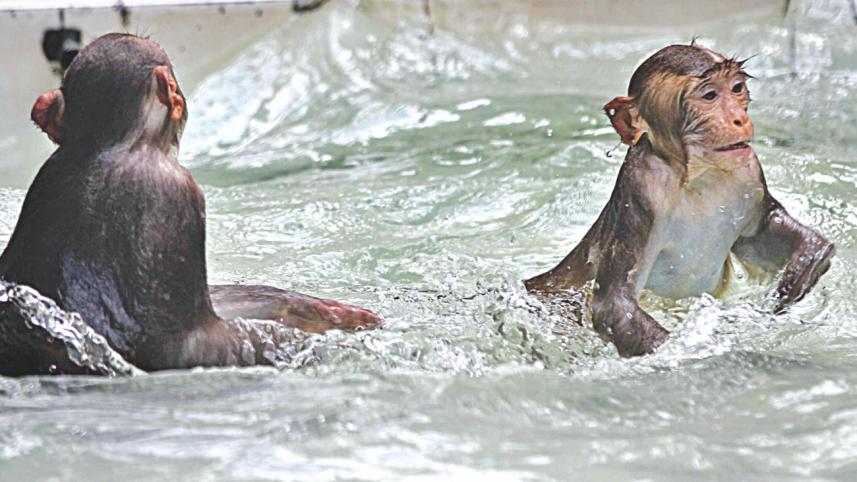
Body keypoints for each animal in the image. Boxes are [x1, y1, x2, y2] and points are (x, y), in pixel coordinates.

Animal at [525, 43, 835, 357]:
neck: (695, 179)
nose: (740, 118)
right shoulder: (640, 196)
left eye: (736, 88)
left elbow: (760, 235)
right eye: (709, 96)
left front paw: (807, 263)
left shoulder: (749, 174)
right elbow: (613, 307)